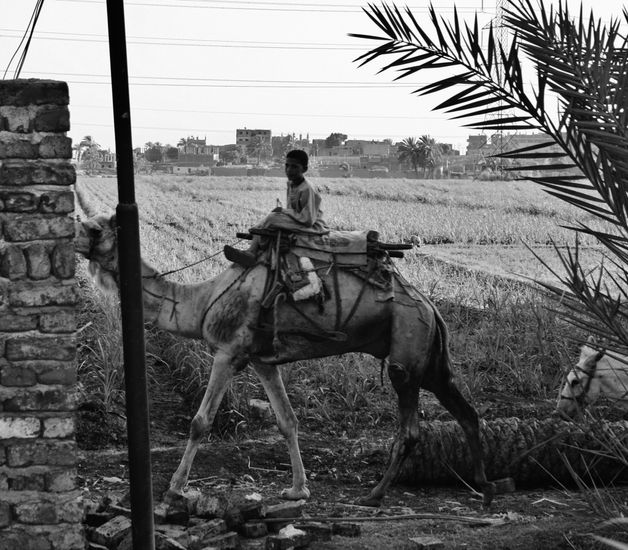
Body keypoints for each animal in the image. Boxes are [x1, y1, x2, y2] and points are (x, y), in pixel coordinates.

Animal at [73, 213, 496, 506]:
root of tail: (430, 306)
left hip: (406, 349)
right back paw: (483, 486)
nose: (70, 237)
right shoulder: (263, 360)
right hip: (429, 356)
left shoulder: (229, 351)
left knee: (410, 428)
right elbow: (287, 421)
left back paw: (376, 493)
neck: (203, 300)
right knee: (466, 412)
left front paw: (176, 488)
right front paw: (297, 489)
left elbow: (199, 422)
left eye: (94, 229)